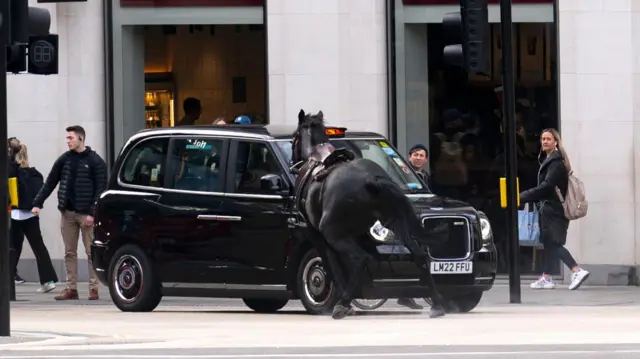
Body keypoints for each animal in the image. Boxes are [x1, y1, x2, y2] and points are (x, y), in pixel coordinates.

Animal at [292, 109, 448, 320]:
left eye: (294, 137)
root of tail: (371, 180)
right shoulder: (362, 235)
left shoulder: (316, 234)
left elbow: (332, 265)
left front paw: (339, 298)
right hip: (395, 223)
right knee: (420, 256)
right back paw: (437, 304)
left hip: (333, 233)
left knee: (361, 259)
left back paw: (342, 304)